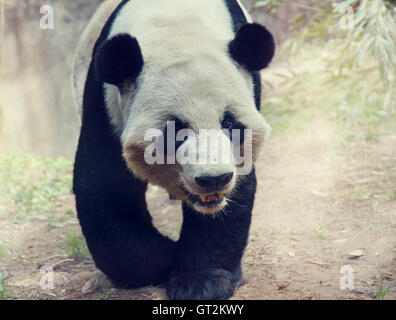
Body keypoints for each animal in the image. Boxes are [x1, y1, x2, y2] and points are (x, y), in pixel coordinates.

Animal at [72, 0, 276, 300]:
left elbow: (237, 193)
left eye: (228, 122)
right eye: (176, 130)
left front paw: (201, 282)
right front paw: (164, 259)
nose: (213, 180)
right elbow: (107, 189)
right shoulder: (106, 106)